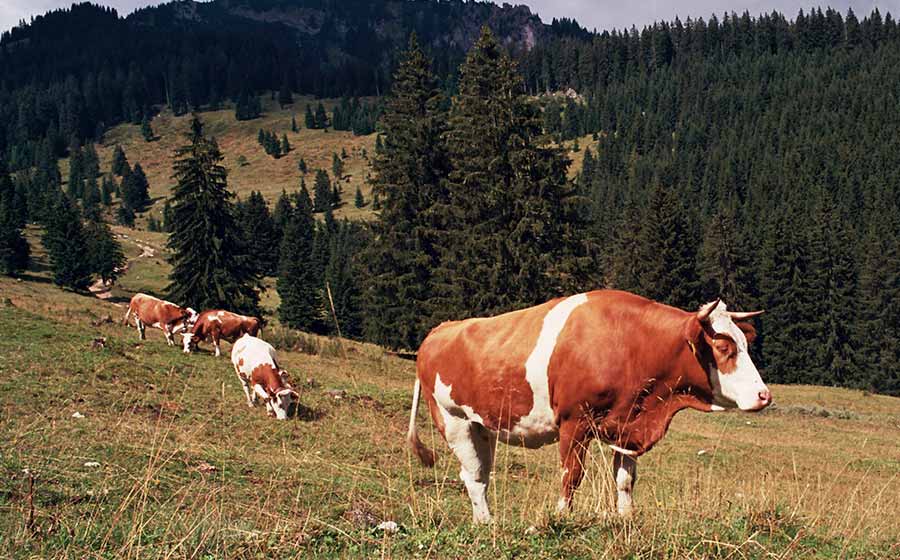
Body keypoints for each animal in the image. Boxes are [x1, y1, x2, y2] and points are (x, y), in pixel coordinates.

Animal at [404, 290, 768, 524]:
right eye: (724, 347)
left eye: (746, 344)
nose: (764, 395)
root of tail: (440, 330)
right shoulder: (574, 421)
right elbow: (572, 475)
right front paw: (561, 516)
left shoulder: (627, 425)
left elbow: (625, 479)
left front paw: (626, 517)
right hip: (454, 421)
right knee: (473, 475)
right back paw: (487, 522)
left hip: (483, 426)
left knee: (479, 473)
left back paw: (485, 522)